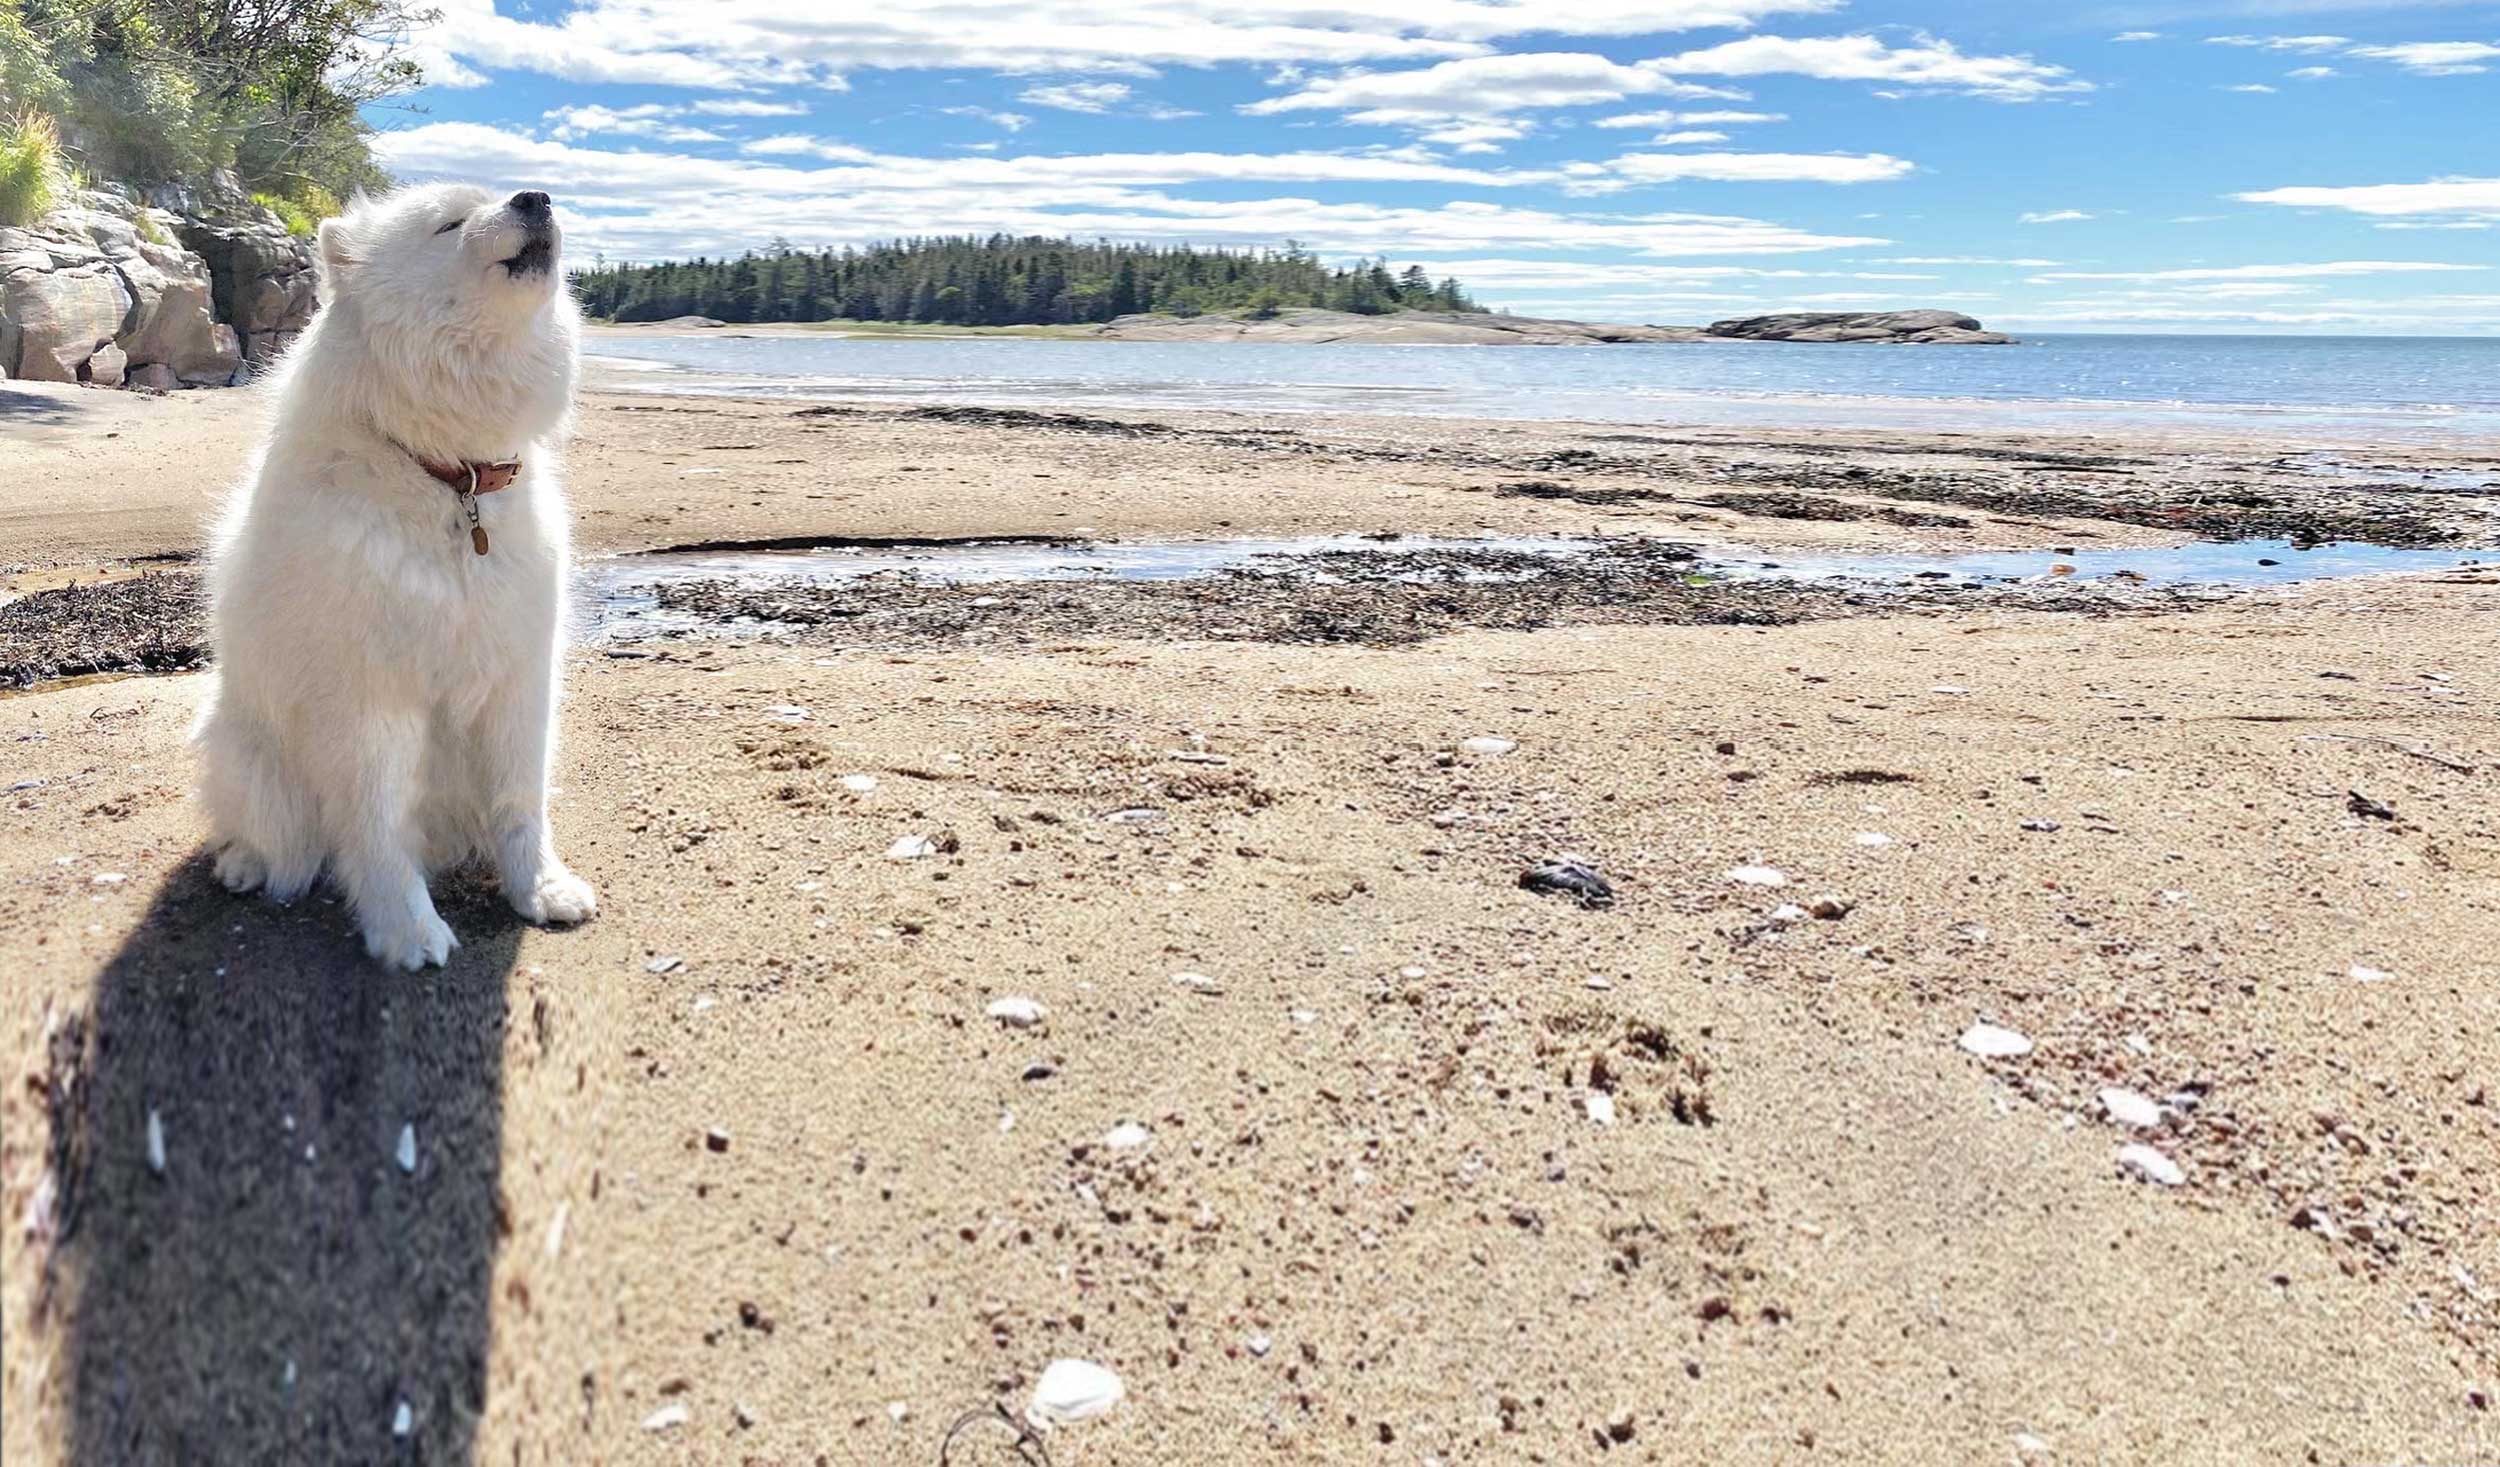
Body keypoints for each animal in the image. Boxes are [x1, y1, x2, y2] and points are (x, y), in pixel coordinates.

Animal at [195, 183, 595, 969]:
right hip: (242, 749)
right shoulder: (366, 697)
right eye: (449, 223)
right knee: (278, 834)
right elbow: (377, 828)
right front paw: (408, 931)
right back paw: (249, 863)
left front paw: (540, 889)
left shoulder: (519, 679)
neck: (450, 477)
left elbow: (520, 799)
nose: (536, 197)